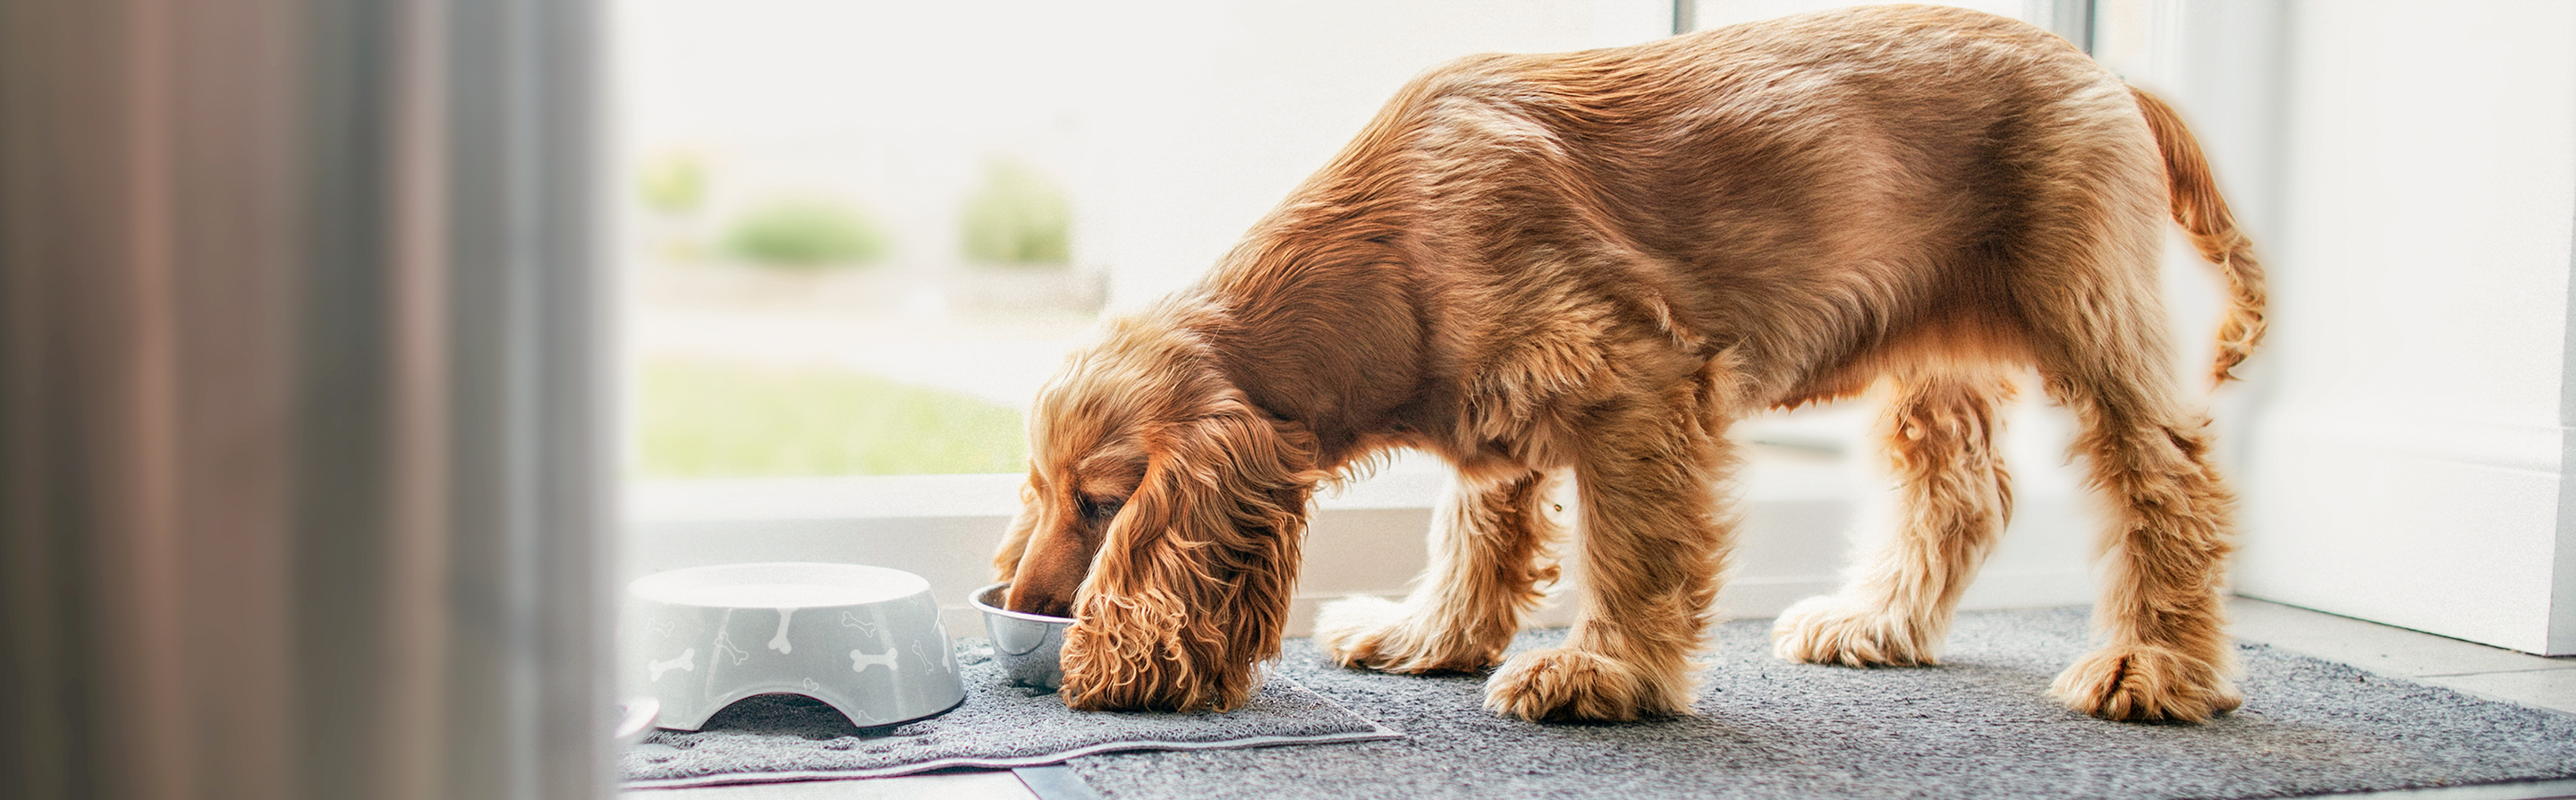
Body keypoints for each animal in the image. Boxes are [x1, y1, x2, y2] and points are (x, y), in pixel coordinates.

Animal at [994, 1, 2267, 722]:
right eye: (1040, 494)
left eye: (1102, 503)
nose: (1023, 605)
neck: (1392, 243)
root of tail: (2112, 77)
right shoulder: (1498, 405)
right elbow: (1476, 529)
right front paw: (1430, 638)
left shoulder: (1641, 385)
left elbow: (1631, 552)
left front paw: (1604, 677)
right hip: (1932, 353)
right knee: (1962, 491)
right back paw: (1877, 626)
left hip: (2089, 313)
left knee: (2174, 481)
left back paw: (2155, 668)